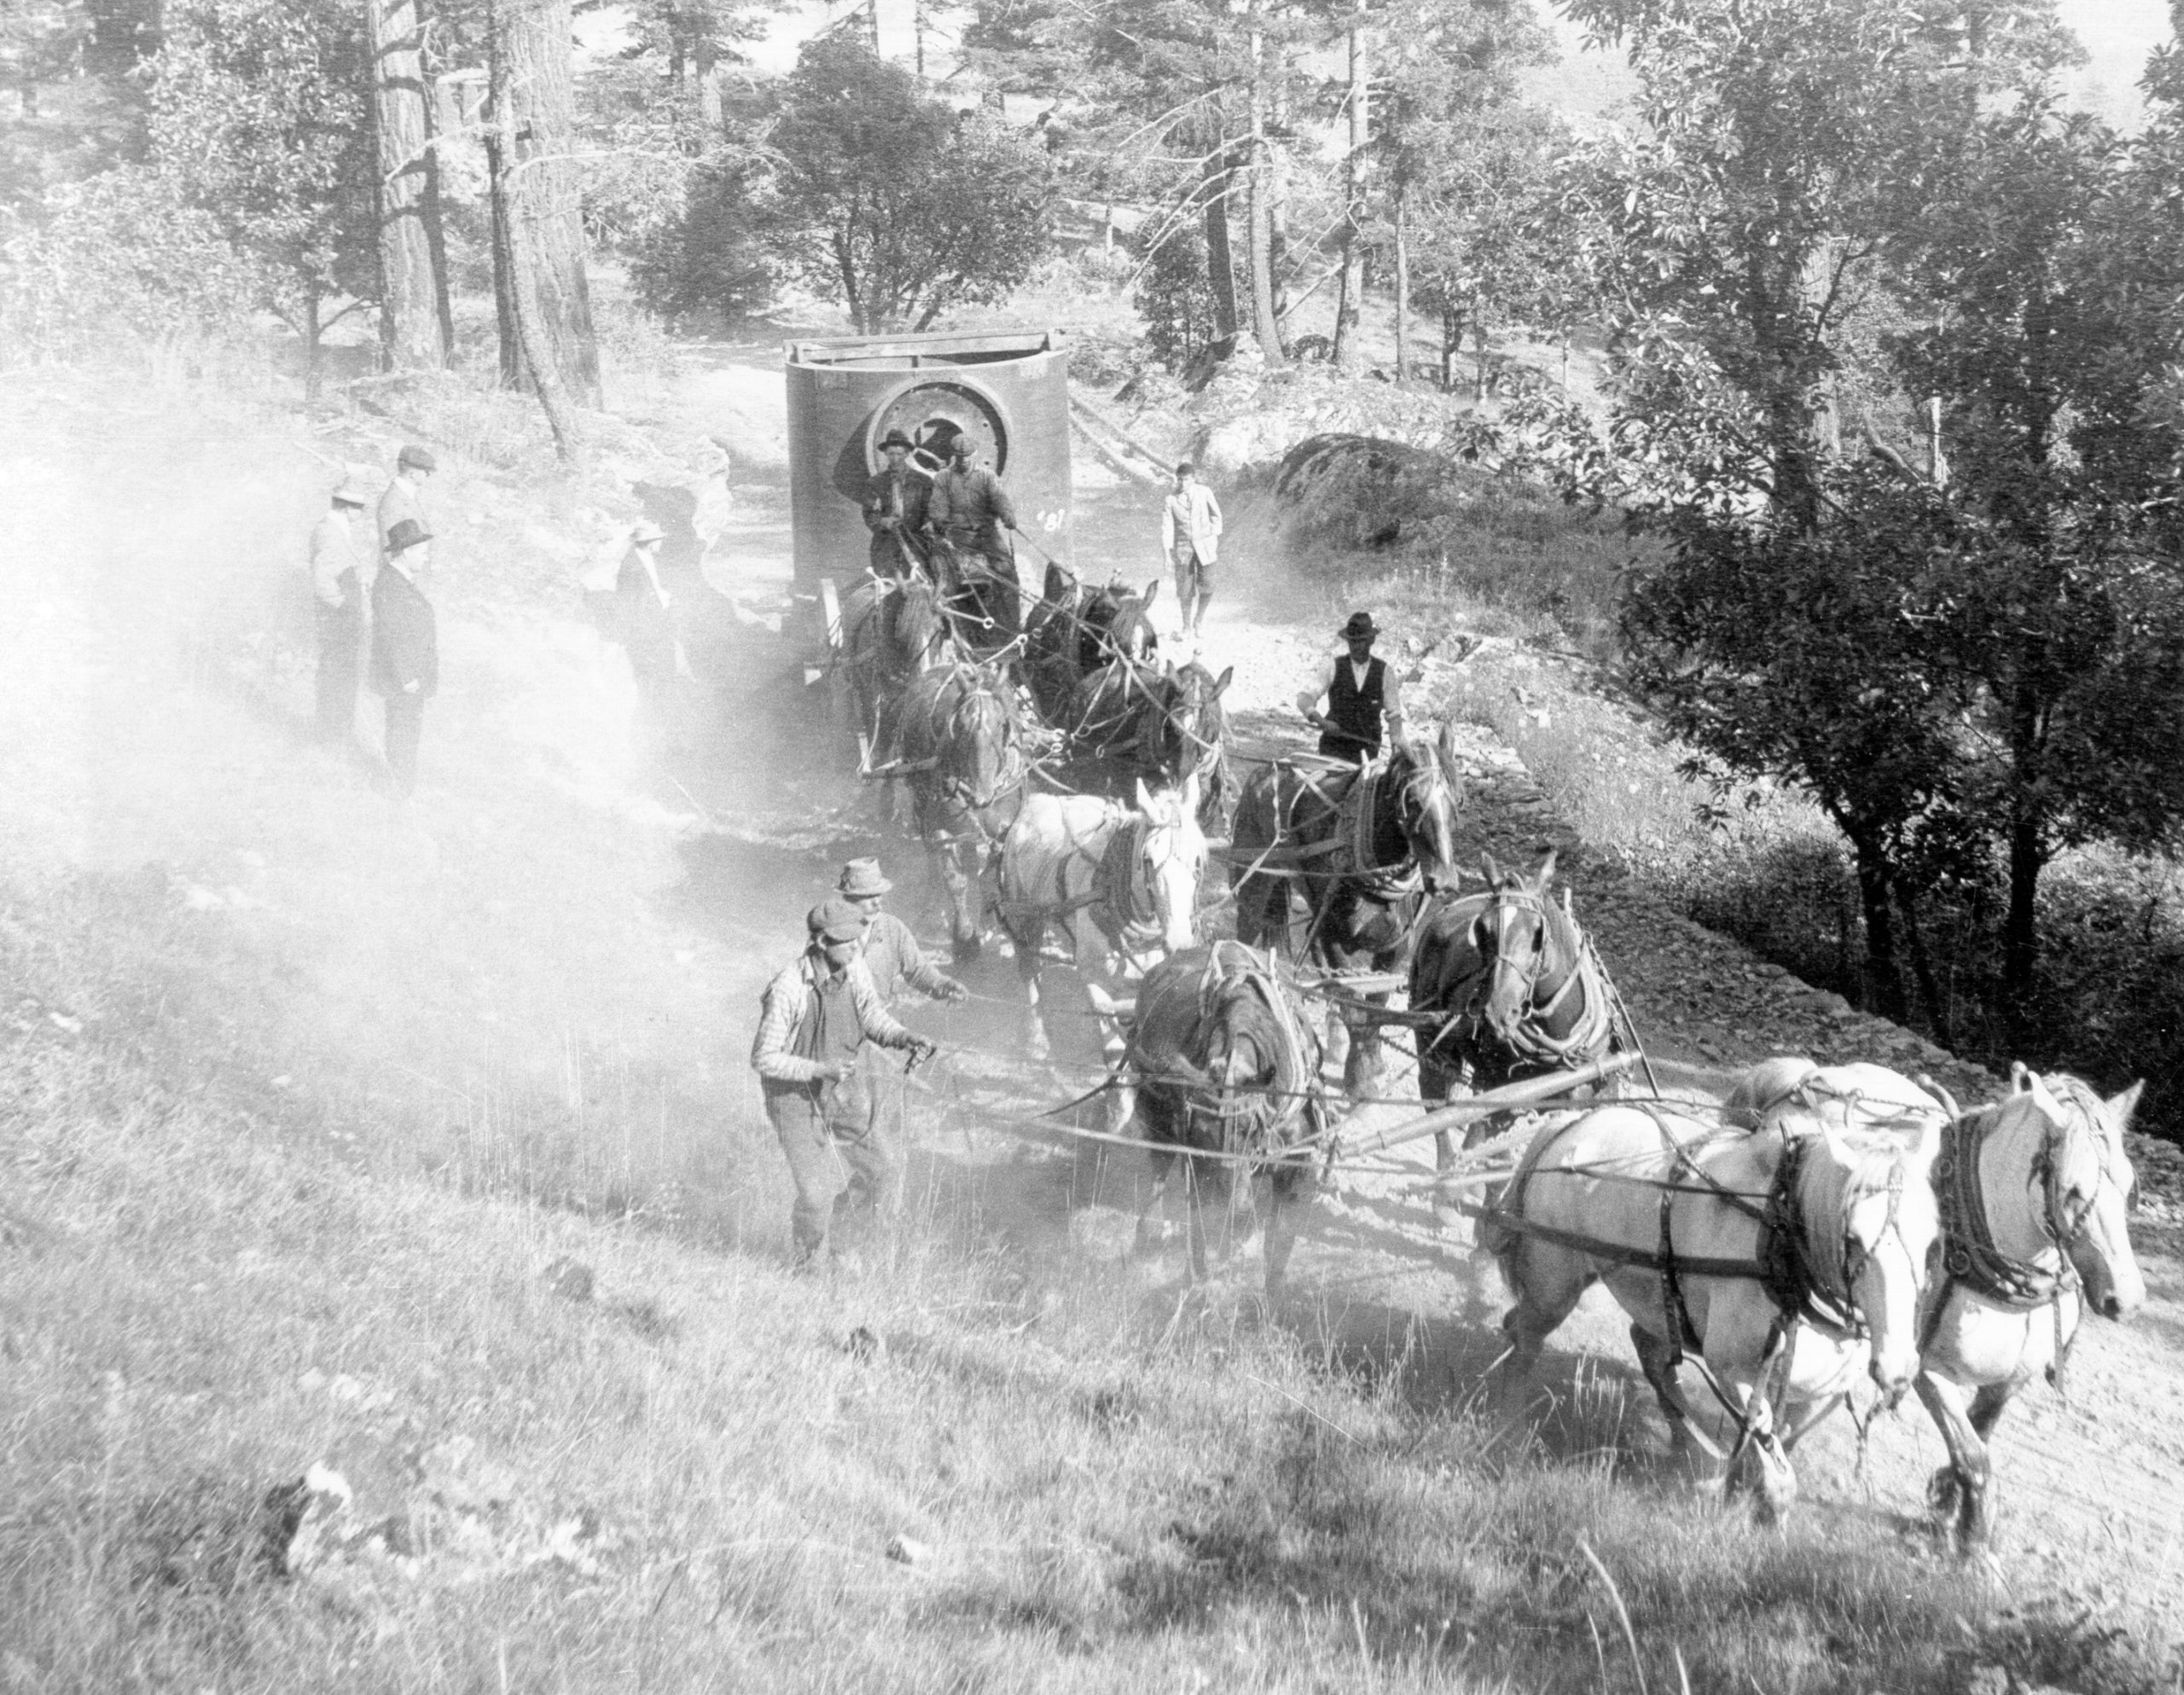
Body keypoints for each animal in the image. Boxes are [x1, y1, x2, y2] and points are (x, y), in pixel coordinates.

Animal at [996, 777, 1205, 1057]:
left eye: (1197, 859)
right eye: (1148, 859)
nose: (1179, 941)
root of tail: (1036, 801)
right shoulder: (1093, 977)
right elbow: (1109, 1030)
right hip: (1024, 918)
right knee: (1030, 971)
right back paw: (1038, 1037)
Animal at [1118, 948, 1319, 1292]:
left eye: (1251, 1129)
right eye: (1199, 1135)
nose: (1230, 1204)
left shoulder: (1293, 1169)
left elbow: (1278, 1242)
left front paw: (1271, 1296)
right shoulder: (1198, 1166)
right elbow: (1199, 1231)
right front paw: (1196, 1286)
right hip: (1156, 1115)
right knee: (1160, 1167)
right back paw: (1150, 1234)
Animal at [1231, 720, 1467, 1092]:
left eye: (1458, 799)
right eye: (1413, 800)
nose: (1444, 880)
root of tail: (1264, 771)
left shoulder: (1398, 946)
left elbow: (1376, 1006)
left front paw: (1370, 1062)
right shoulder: (1335, 939)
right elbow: (1355, 1007)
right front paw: (1360, 1078)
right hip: (1255, 883)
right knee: (1247, 930)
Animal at [1494, 1100, 1939, 1520]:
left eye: (1933, 1240)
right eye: (1852, 1239)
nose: (1898, 1368)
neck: (1785, 1247)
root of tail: (1573, 1121)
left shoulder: (1821, 1393)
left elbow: (1778, 1449)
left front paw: (1738, 1490)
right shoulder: (1733, 1371)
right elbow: (1779, 1479)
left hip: (1654, 1290)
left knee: (1648, 1351)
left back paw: (1685, 1441)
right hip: (1554, 1288)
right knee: (1526, 1343)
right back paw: (1509, 1429)